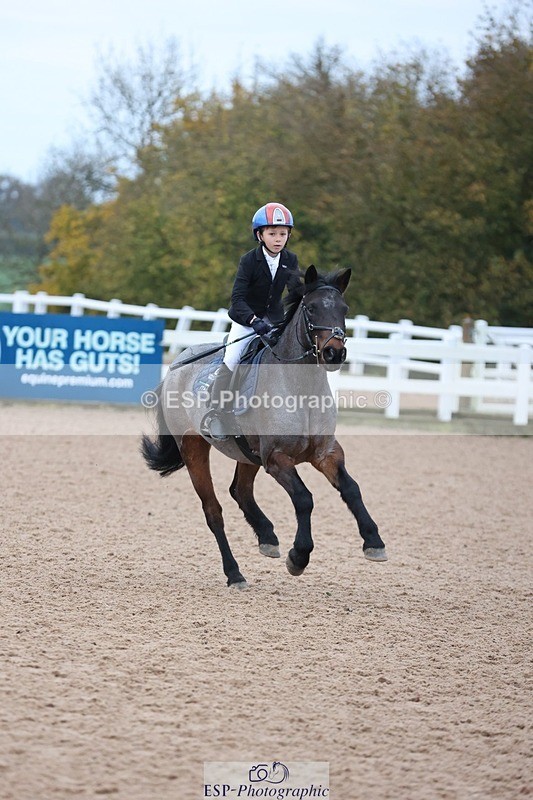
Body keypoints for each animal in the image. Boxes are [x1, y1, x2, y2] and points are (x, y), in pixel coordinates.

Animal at [141, 264, 387, 588]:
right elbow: (304, 499)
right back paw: (234, 573)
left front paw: (374, 542)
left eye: (344, 309)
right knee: (213, 511)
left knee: (241, 491)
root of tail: (176, 364)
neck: (301, 389)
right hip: (194, 447)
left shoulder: (326, 453)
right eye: (311, 308)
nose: (334, 353)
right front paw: (299, 557)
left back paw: (267, 537)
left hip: (247, 453)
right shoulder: (277, 459)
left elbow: (351, 488)